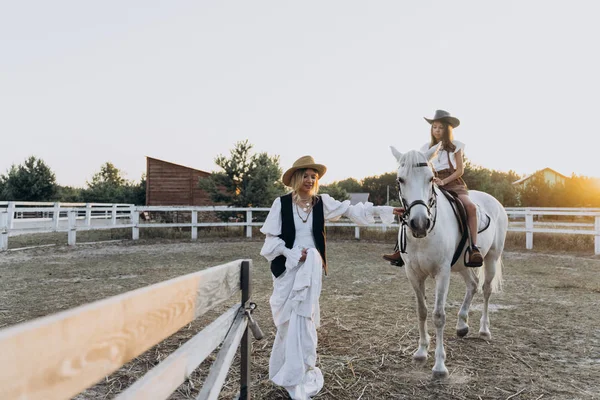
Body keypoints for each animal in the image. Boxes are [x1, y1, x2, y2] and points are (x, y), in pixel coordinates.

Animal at [392, 146, 508, 378]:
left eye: (431, 178)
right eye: (401, 179)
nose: (419, 223)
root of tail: (495, 201)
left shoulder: (442, 273)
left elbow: (438, 315)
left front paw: (439, 365)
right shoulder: (413, 274)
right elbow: (421, 311)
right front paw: (421, 352)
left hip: (491, 258)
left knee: (486, 290)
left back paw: (484, 330)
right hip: (463, 265)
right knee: (472, 285)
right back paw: (462, 324)